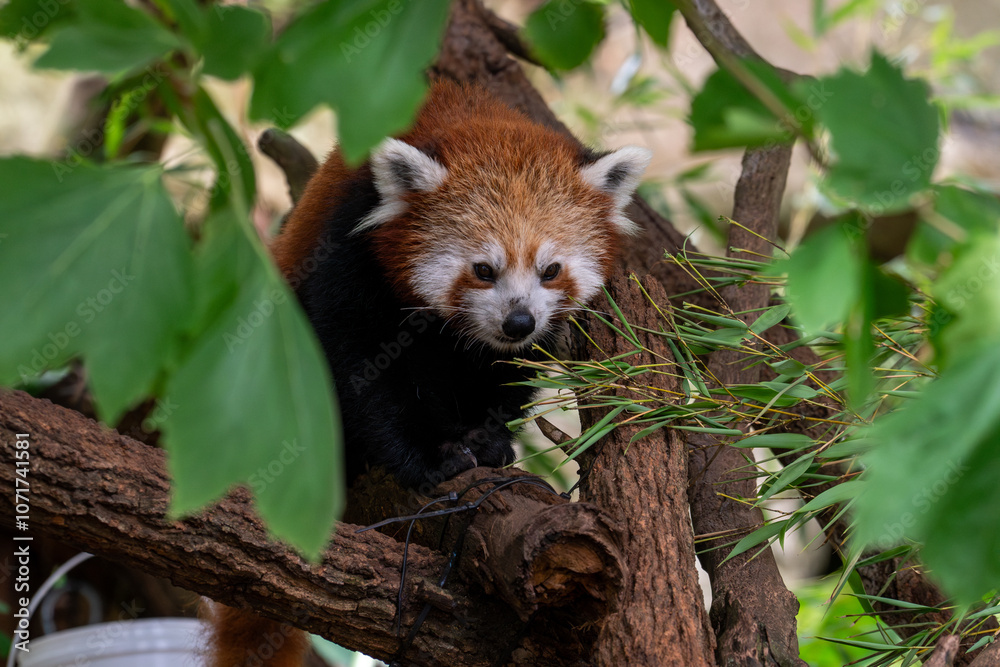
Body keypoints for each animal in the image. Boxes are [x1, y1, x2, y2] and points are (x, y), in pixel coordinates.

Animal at [207, 81, 652, 664]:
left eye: (550, 270)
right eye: (483, 270)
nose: (518, 321)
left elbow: (505, 378)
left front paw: (487, 439)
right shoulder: (350, 254)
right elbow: (361, 370)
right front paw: (431, 456)